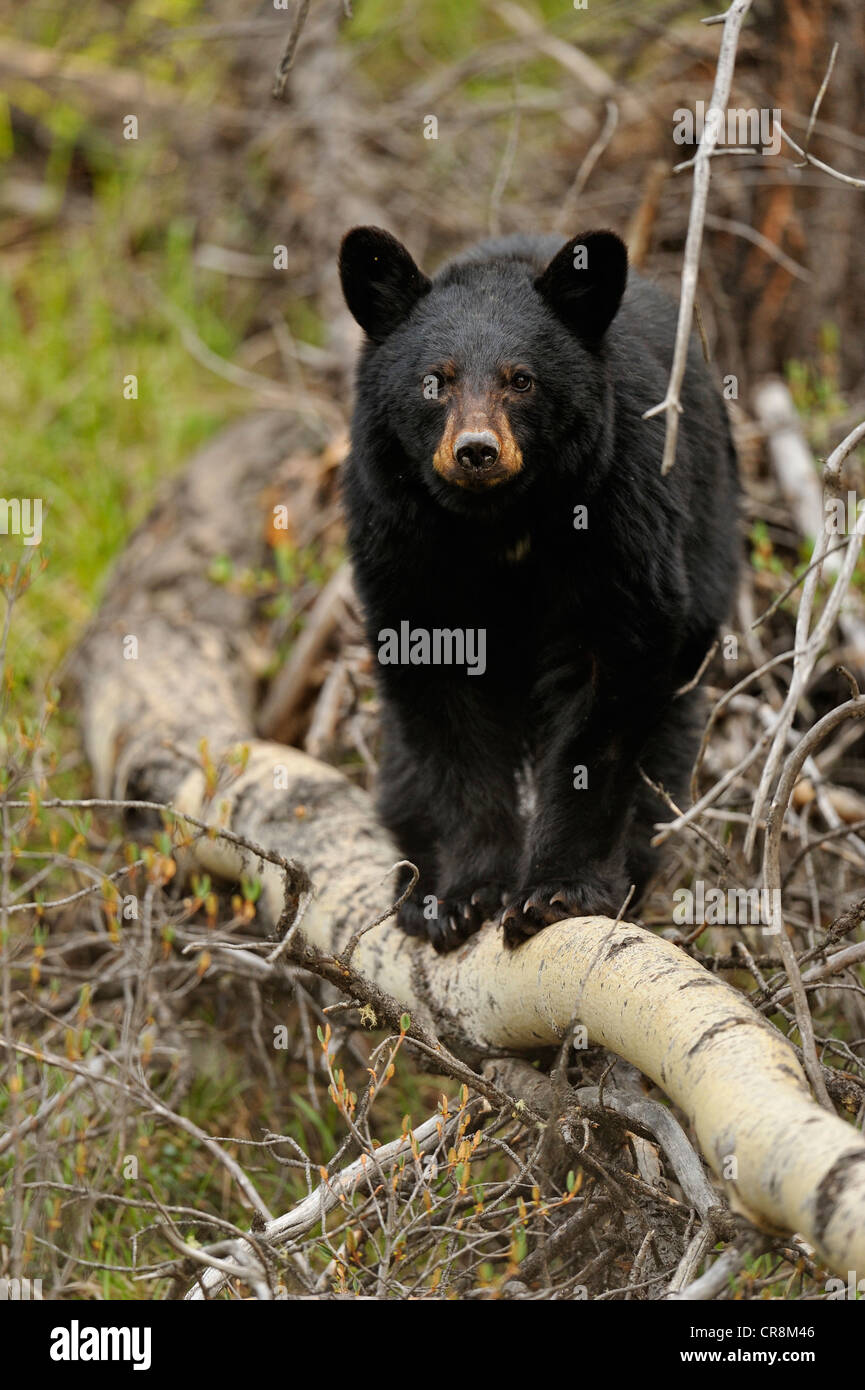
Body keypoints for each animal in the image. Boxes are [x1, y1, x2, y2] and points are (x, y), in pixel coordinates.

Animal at [339, 227, 739, 950]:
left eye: (521, 380)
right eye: (432, 381)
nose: (475, 451)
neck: (500, 523)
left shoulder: (621, 503)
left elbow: (609, 681)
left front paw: (558, 891)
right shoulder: (399, 539)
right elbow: (444, 713)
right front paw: (461, 895)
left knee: (666, 750)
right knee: (403, 771)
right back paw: (412, 886)